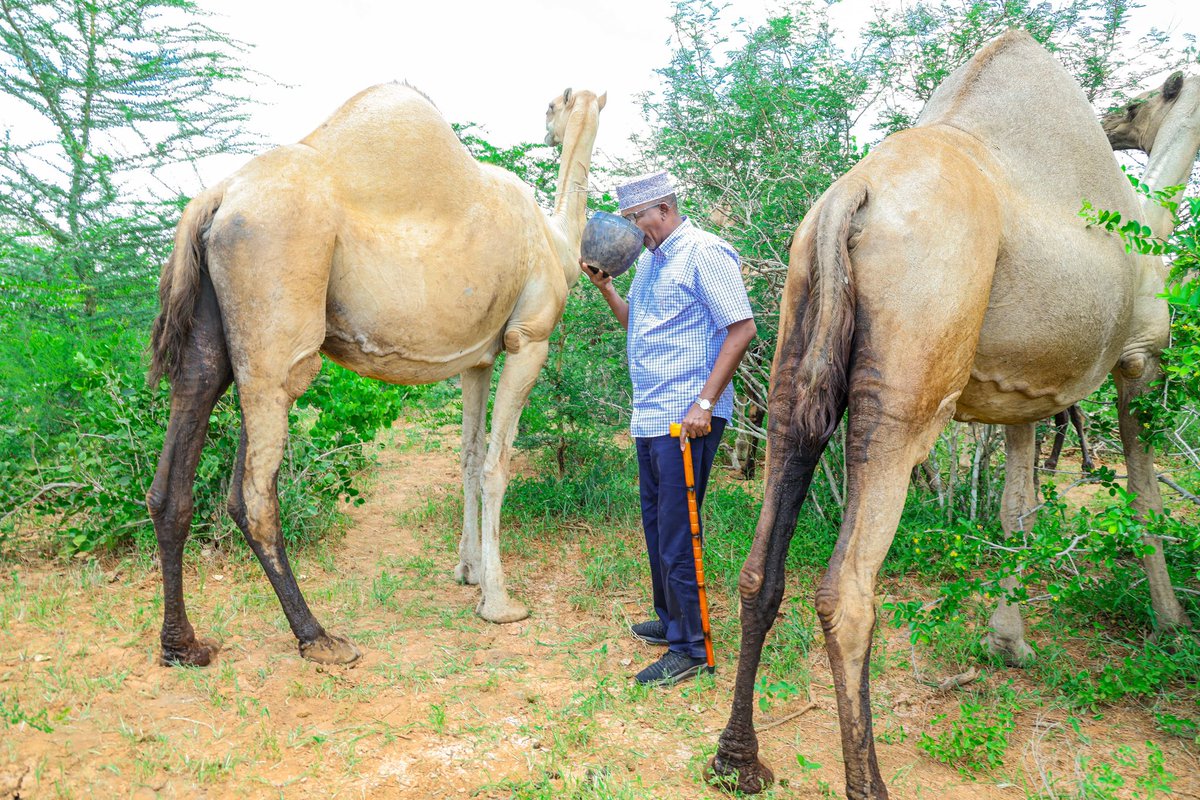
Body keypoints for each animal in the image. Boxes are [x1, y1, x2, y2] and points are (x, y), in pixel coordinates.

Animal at [145, 84, 606, 666]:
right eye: (554, 108)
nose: (546, 129)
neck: (557, 241)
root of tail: (217, 197)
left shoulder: (478, 357)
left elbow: (469, 455)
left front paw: (469, 571)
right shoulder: (530, 337)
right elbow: (497, 463)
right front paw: (500, 602)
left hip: (223, 329)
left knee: (192, 415)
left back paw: (183, 644)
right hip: (278, 311)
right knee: (255, 489)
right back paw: (318, 637)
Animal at [708, 32, 1198, 799]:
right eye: (1140, 102)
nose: (1120, 123)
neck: (1153, 221)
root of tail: (851, 197)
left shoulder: (1030, 392)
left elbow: (1018, 511)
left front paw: (1008, 642)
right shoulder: (1141, 356)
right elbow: (1144, 496)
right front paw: (1172, 622)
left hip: (796, 331)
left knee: (763, 559)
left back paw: (738, 761)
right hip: (909, 377)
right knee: (848, 590)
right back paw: (868, 783)